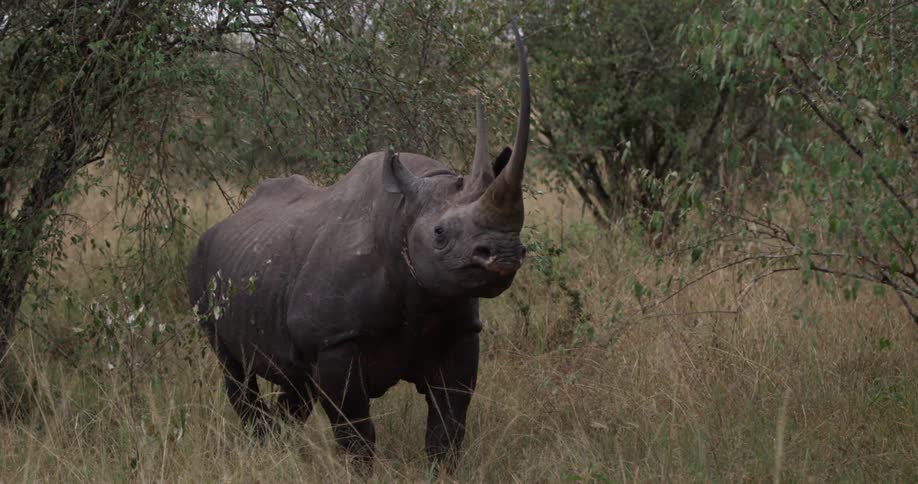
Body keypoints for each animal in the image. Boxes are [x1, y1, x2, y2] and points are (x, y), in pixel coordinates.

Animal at [187, 26, 530, 472]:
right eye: (439, 234)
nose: (504, 254)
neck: (404, 216)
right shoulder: (334, 341)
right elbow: (355, 429)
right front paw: (360, 472)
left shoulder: (459, 327)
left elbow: (449, 422)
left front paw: (441, 472)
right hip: (200, 265)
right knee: (235, 371)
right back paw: (259, 447)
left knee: (295, 386)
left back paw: (277, 446)